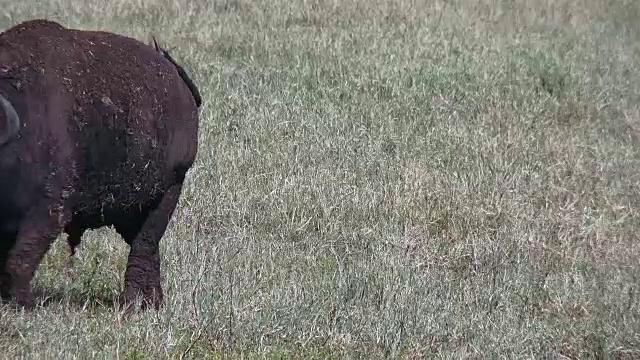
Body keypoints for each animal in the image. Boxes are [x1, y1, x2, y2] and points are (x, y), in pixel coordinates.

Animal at [0, 19, 202, 310]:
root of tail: (182, 88)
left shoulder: (48, 212)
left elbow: (20, 260)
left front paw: (22, 303)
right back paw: (151, 302)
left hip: (166, 195)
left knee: (144, 247)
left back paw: (134, 302)